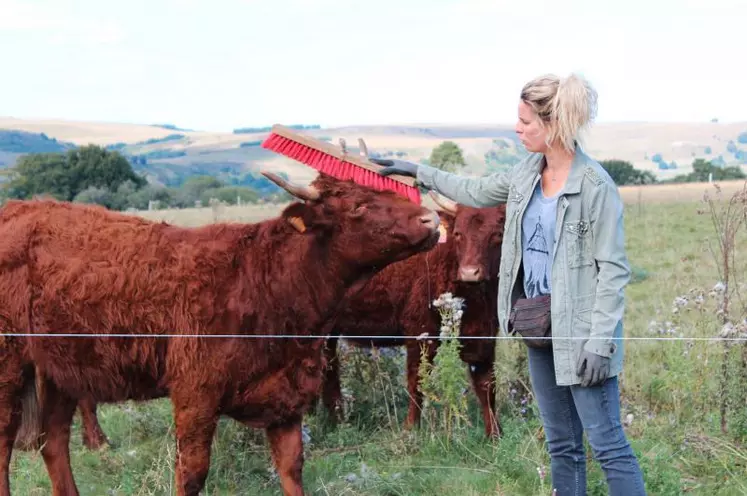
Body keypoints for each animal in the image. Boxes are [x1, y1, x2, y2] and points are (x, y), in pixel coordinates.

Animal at [0, 171, 442, 496]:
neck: (264, 279)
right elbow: (192, 473)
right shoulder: (195, 393)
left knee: (53, 442)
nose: (432, 219)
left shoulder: (287, 395)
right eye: (359, 206)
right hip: (10, 366)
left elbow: (291, 468)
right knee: (6, 442)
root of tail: (17, 208)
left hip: (60, 368)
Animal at [322, 194, 508, 438]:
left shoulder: (483, 335)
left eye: (497, 234)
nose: (470, 273)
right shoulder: (420, 333)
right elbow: (417, 381)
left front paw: (495, 433)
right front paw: (411, 428)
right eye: (458, 234)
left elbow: (486, 384)